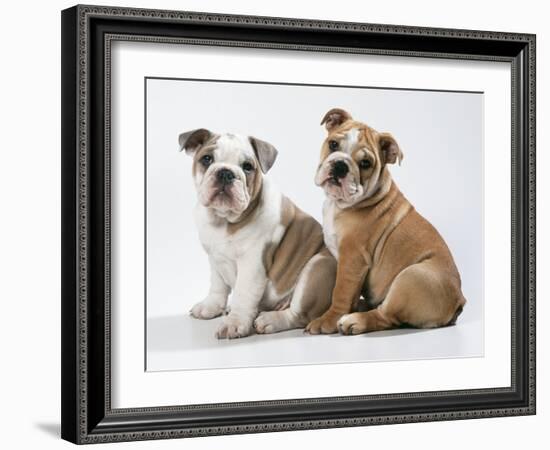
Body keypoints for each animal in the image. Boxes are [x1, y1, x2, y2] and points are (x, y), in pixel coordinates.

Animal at [180, 126, 336, 338]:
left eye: (247, 166)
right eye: (207, 159)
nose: (225, 173)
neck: (223, 220)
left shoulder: (252, 263)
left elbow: (243, 293)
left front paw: (235, 322)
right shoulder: (214, 257)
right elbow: (218, 285)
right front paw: (211, 307)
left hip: (318, 267)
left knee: (299, 314)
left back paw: (270, 320)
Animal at [308, 108, 468, 334]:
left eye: (365, 163)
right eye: (333, 144)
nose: (340, 165)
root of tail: (459, 300)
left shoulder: (352, 257)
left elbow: (340, 291)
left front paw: (328, 320)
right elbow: (350, 293)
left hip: (410, 278)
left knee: (385, 316)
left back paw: (354, 320)